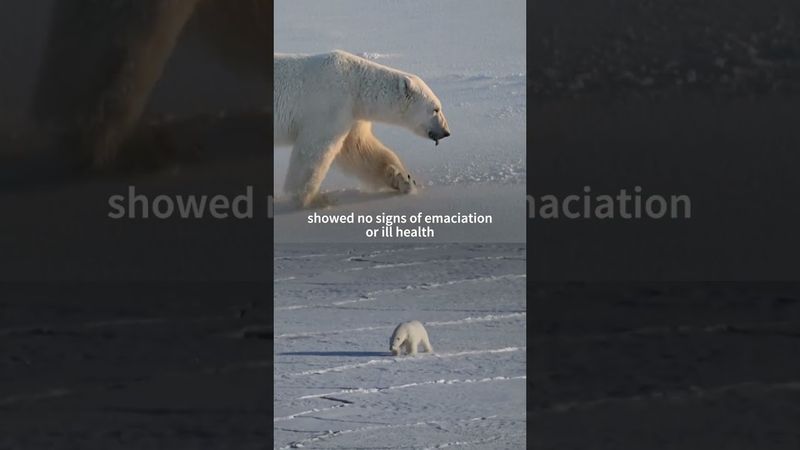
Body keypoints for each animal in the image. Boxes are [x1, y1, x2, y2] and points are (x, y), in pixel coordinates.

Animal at [274, 50, 451, 207]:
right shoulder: (329, 106)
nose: (446, 132)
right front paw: (314, 200)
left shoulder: (352, 114)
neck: (354, 85)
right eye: (436, 109)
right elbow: (313, 150)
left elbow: (359, 149)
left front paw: (404, 180)